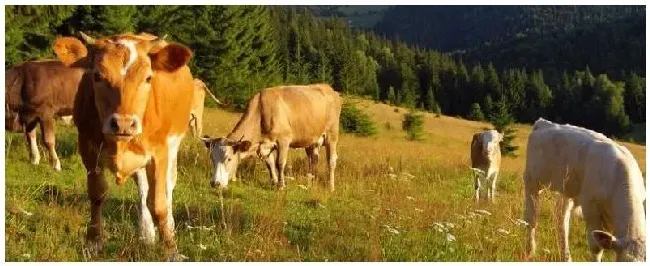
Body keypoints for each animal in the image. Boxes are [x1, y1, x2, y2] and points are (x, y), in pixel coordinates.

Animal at [52, 31, 194, 260]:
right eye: (97, 76)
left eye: (148, 78)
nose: (124, 124)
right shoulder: (88, 149)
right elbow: (97, 195)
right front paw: (93, 242)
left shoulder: (159, 153)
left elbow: (159, 204)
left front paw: (171, 250)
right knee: (143, 189)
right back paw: (146, 233)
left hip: (173, 147)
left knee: (168, 186)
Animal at [201, 84, 344, 190]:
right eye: (212, 158)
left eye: (229, 158)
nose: (215, 183)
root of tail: (330, 89)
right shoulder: (264, 146)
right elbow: (270, 164)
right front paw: (274, 182)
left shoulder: (283, 140)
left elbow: (279, 163)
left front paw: (281, 185)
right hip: (311, 140)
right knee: (313, 159)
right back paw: (310, 183)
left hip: (332, 135)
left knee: (331, 161)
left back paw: (331, 187)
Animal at [520, 118, 644, 262]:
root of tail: (543, 122)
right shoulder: (590, 207)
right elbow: (596, 248)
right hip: (532, 181)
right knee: (531, 219)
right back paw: (530, 251)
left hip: (567, 191)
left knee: (561, 220)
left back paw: (566, 257)